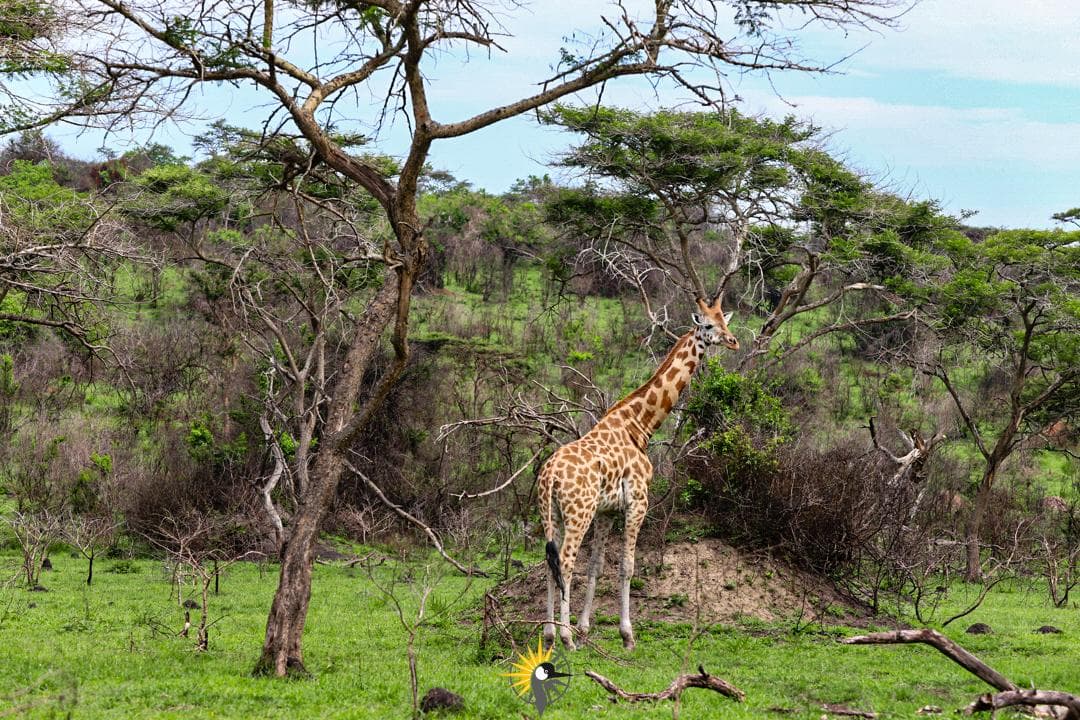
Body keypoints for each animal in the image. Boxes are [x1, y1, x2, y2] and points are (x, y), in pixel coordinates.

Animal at [540, 296, 739, 651]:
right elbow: (628, 567)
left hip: (551, 513)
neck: (640, 425)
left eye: (725, 322)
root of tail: (549, 476)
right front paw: (627, 635)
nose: (733, 341)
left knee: (550, 563)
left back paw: (550, 635)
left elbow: (596, 566)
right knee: (565, 561)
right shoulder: (637, 502)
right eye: (708, 325)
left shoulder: (607, 511)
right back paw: (564, 638)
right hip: (578, 513)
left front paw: (585, 628)